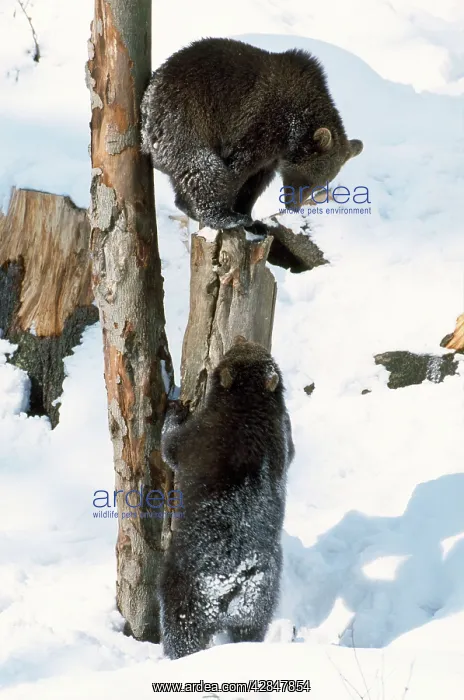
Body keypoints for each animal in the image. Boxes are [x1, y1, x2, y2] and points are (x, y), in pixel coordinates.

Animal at [141, 37, 363, 237]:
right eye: (307, 180)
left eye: (319, 185)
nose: (293, 206)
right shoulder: (260, 125)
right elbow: (240, 167)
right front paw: (238, 213)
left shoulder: (273, 156)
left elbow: (255, 184)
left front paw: (254, 222)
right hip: (183, 119)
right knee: (205, 168)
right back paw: (224, 217)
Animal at [159, 337, 295, 660]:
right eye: (259, 351)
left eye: (234, 354)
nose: (241, 338)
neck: (249, 409)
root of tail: (233, 583)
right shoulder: (281, 434)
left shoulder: (198, 436)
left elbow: (170, 446)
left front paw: (175, 408)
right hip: (260, 599)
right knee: (251, 628)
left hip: (186, 589)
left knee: (181, 629)